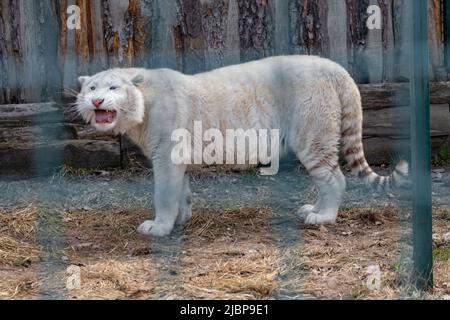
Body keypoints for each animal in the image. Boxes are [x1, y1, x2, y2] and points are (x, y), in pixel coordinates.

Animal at [76, 55, 408, 236]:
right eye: (91, 87)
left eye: (113, 87)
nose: (97, 100)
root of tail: (336, 68)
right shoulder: (178, 159)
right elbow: (182, 192)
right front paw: (182, 220)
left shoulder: (166, 156)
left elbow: (164, 195)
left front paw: (158, 228)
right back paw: (311, 208)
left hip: (313, 137)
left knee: (335, 179)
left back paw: (321, 217)